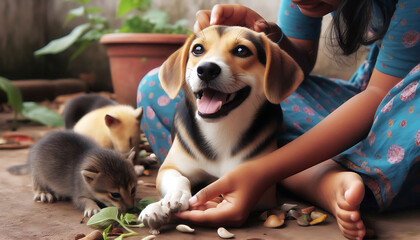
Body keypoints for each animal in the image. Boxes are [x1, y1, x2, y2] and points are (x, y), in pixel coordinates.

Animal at [139, 24, 304, 232]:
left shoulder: (264, 192)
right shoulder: (170, 167)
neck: (219, 128)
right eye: (197, 49)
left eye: (242, 50)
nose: (206, 69)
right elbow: (179, 178)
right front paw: (162, 204)